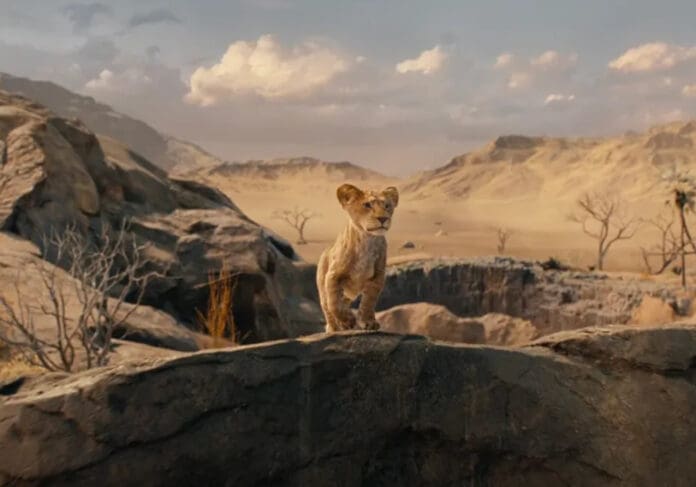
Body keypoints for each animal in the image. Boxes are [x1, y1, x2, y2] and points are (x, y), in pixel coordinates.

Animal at [316, 183, 399, 332]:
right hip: (322, 284)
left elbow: (369, 301)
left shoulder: (377, 277)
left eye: (387, 205)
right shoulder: (333, 275)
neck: (367, 240)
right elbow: (333, 302)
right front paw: (347, 320)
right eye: (367, 205)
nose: (383, 218)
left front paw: (368, 322)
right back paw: (334, 328)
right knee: (327, 306)